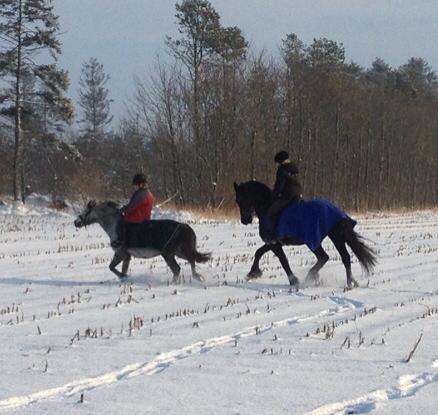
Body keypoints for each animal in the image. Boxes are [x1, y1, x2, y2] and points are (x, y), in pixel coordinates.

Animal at [73, 202, 210, 282]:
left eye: (85, 211)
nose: (76, 222)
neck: (115, 226)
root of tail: (184, 227)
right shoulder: (127, 256)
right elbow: (123, 269)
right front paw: (124, 279)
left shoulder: (120, 253)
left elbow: (111, 267)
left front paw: (123, 277)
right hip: (179, 252)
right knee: (191, 260)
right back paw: (198, 277)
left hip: (168, 254)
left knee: (177, 269)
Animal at [234, 182, 378, 290]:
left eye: (241, 199)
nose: (245, 220)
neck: (267, 207)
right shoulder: (274, 243)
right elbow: (259, 252)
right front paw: (253, 273)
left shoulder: (274, 243)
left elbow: (282, 261)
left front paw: (294, 281)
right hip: (334, 237)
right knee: (343, 257)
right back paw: (351, 282)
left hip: (320, 240)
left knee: (326, 257)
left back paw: (316, 278)